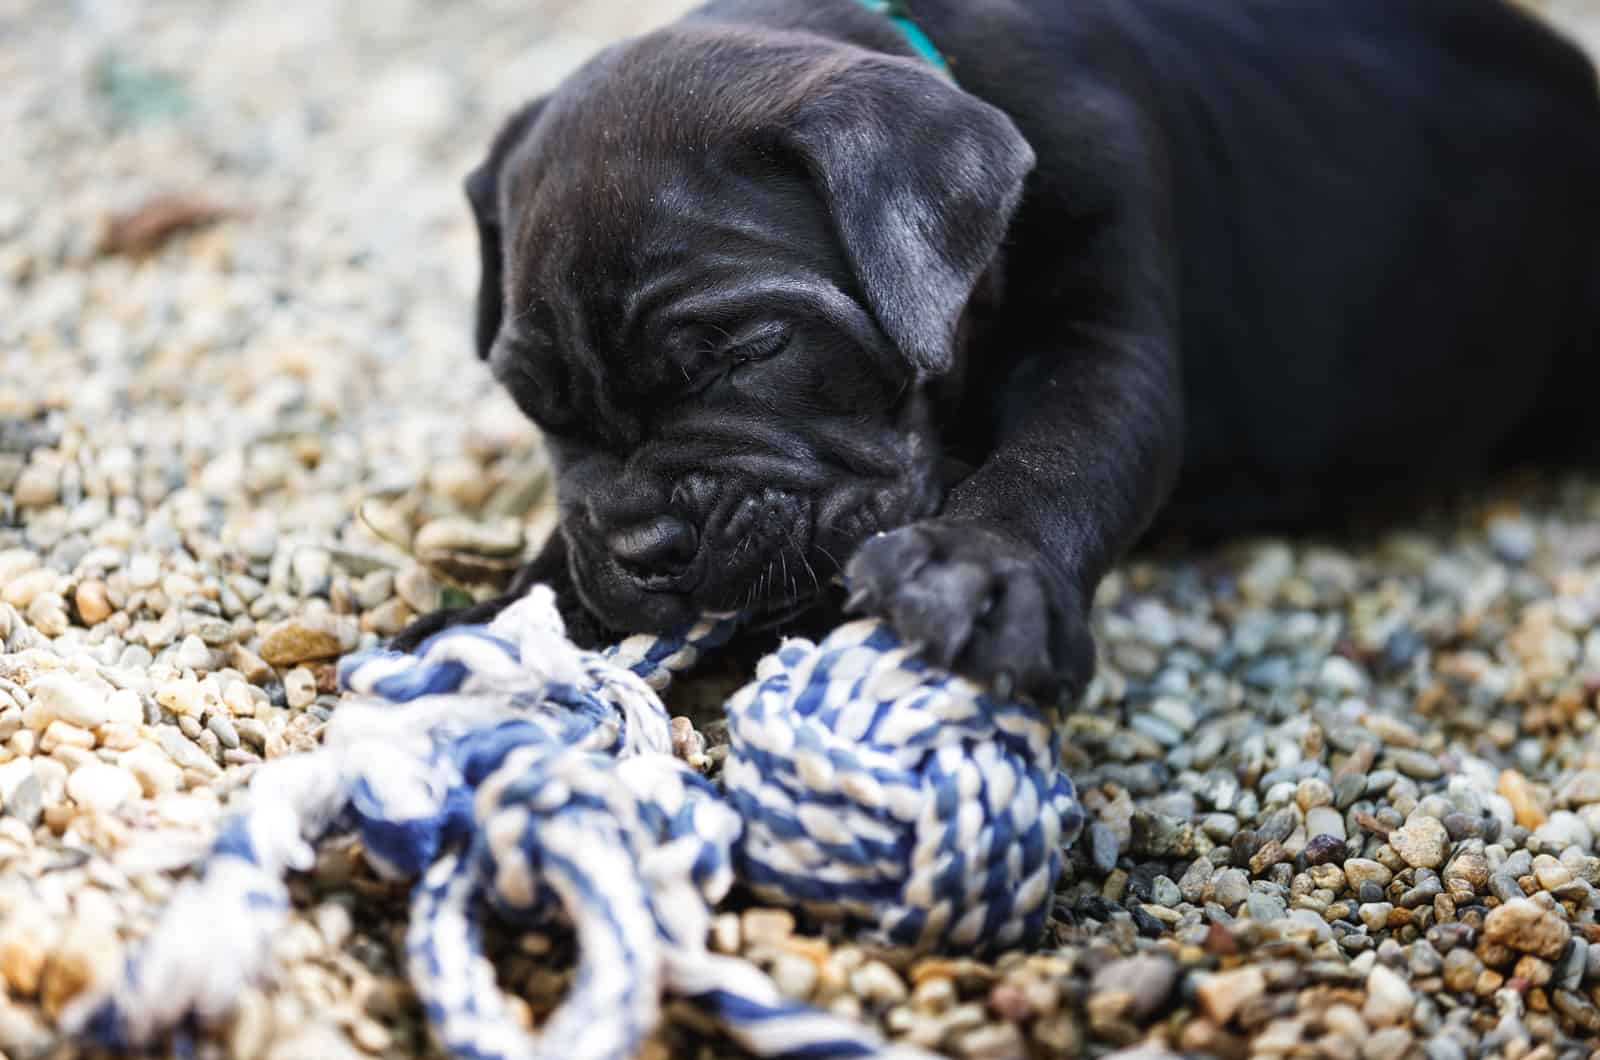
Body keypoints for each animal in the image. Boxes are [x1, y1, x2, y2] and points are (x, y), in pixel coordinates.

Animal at [390, 2, 1600, 704]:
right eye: (537, 406)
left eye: (748, 349)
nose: (644, 548)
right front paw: (507, 611)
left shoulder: (1102, 336)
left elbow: (1063, 455)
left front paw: (979, 568)